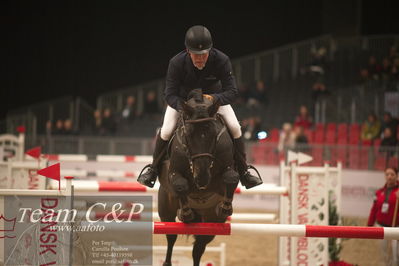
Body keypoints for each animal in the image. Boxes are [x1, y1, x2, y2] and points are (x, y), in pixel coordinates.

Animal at [158, 92, 239, 266]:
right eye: (188, 134)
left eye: (213, 134)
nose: (201, 178)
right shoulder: (173, 173)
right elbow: (181, 185)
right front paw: (186, 213)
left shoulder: (226, 171)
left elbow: (231, 178)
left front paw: (225, 207)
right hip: (166, 212)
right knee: (171, 237)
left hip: (210, 223)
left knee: (199, 248)